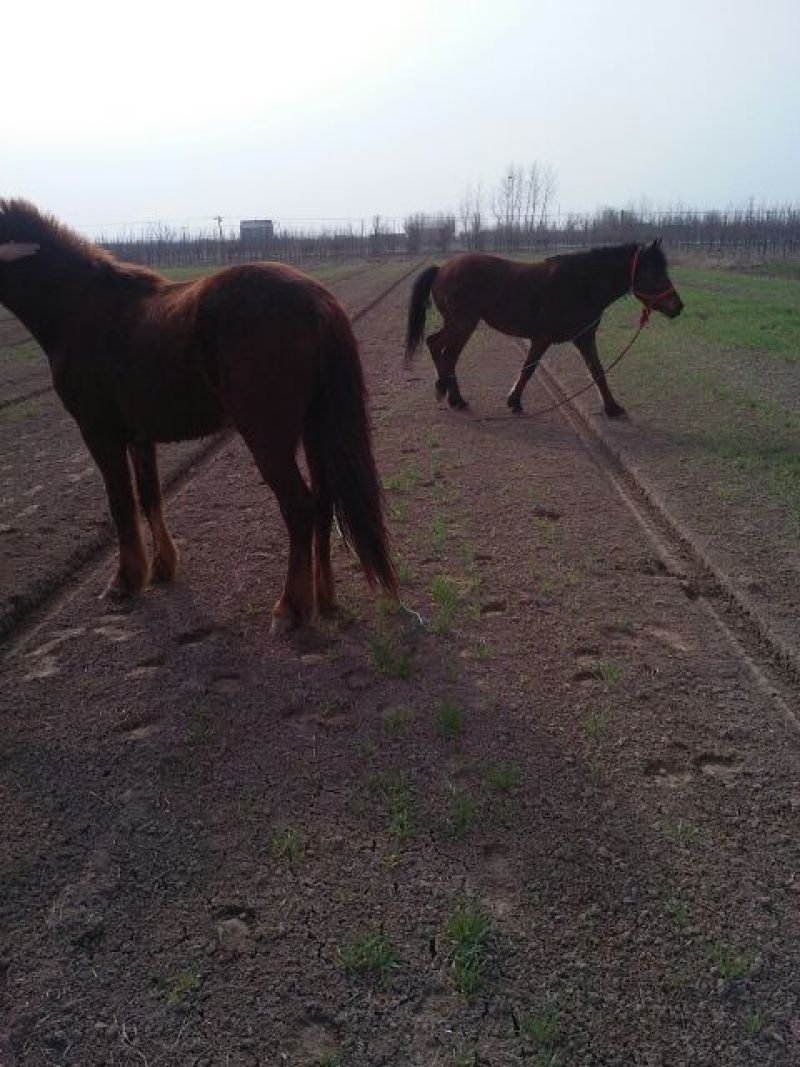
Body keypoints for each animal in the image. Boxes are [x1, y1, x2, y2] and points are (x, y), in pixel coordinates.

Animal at [0, 200, 397, 632]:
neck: (81, 306)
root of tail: (316, 299)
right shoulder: (140, 437)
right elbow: (150, 496)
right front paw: (161, 568)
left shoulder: (99, 433)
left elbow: (120, 503)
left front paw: (124, 580)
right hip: (313, 428)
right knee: (324, 503)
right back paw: (323, 600)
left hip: (268, 437)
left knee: (300, 507)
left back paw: (290, 608)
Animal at [405, 240, 683, 416]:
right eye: (654, 271)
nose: (678, 306)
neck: (580, 285)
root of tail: (442, 269)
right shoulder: (542, 338)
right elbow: (528, 369)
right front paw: (514, 401)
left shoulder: (584, 338)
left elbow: (597, 371)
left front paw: (612, 408)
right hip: (464, 324)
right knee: (446, 353)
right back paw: (451, 396)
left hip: (457, 324)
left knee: (436, 346)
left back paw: (448, 393)